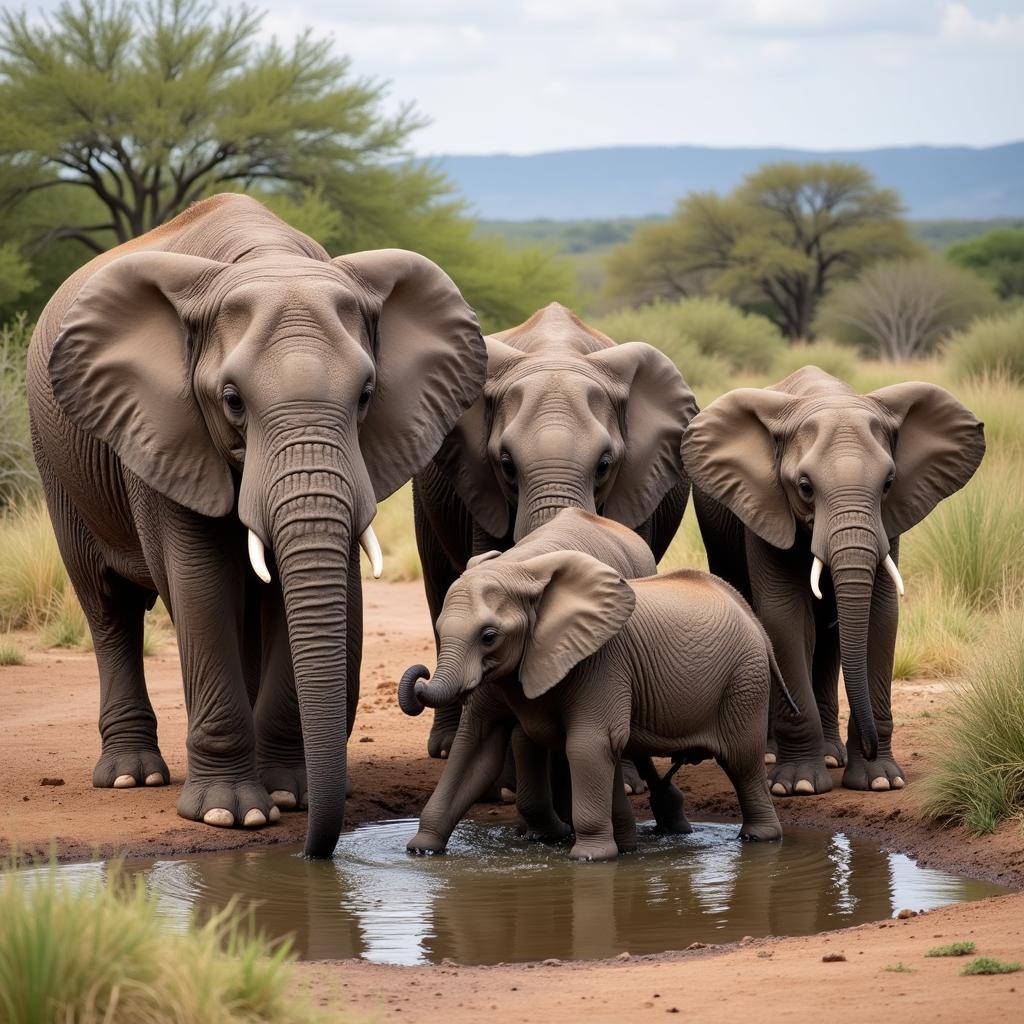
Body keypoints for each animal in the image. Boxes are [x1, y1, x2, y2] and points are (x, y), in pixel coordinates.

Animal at [27, 190, 483, 856]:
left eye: (367, 395)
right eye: (232, 402)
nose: (316, 853)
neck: (264, 259)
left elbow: (314, 588)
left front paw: (290, 795)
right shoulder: (163, 428)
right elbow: (199, 582)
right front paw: (231, 815)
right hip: (58, 467)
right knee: (108, 605)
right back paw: (132, 777)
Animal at [393, 516, 790, 860]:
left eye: (489, 637)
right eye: (440, 631)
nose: (421, 674)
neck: (522, 570)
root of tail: (753, 618)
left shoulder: (602, 662)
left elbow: (588, 743)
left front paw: (588, 858)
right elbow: (475, 747)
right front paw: (421, 851)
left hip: (745, 680)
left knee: (742, 759)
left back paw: (758, 838)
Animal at [407, 299, 696, 765]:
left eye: (605, 465)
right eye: (506, 464)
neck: (556, 353)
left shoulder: (638, 482)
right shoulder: (480, 484)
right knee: (437, 581)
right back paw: (446, 748)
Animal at [679, 368, 983, 798]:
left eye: (888, 483)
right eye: (805, 487)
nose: (871, 746)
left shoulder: (890, 521)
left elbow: (880, 616)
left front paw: (880, 780)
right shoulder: (766, 505)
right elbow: (784, 615)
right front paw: (798, 786)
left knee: (829, 639)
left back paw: (830, 756)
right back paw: (772, 755)